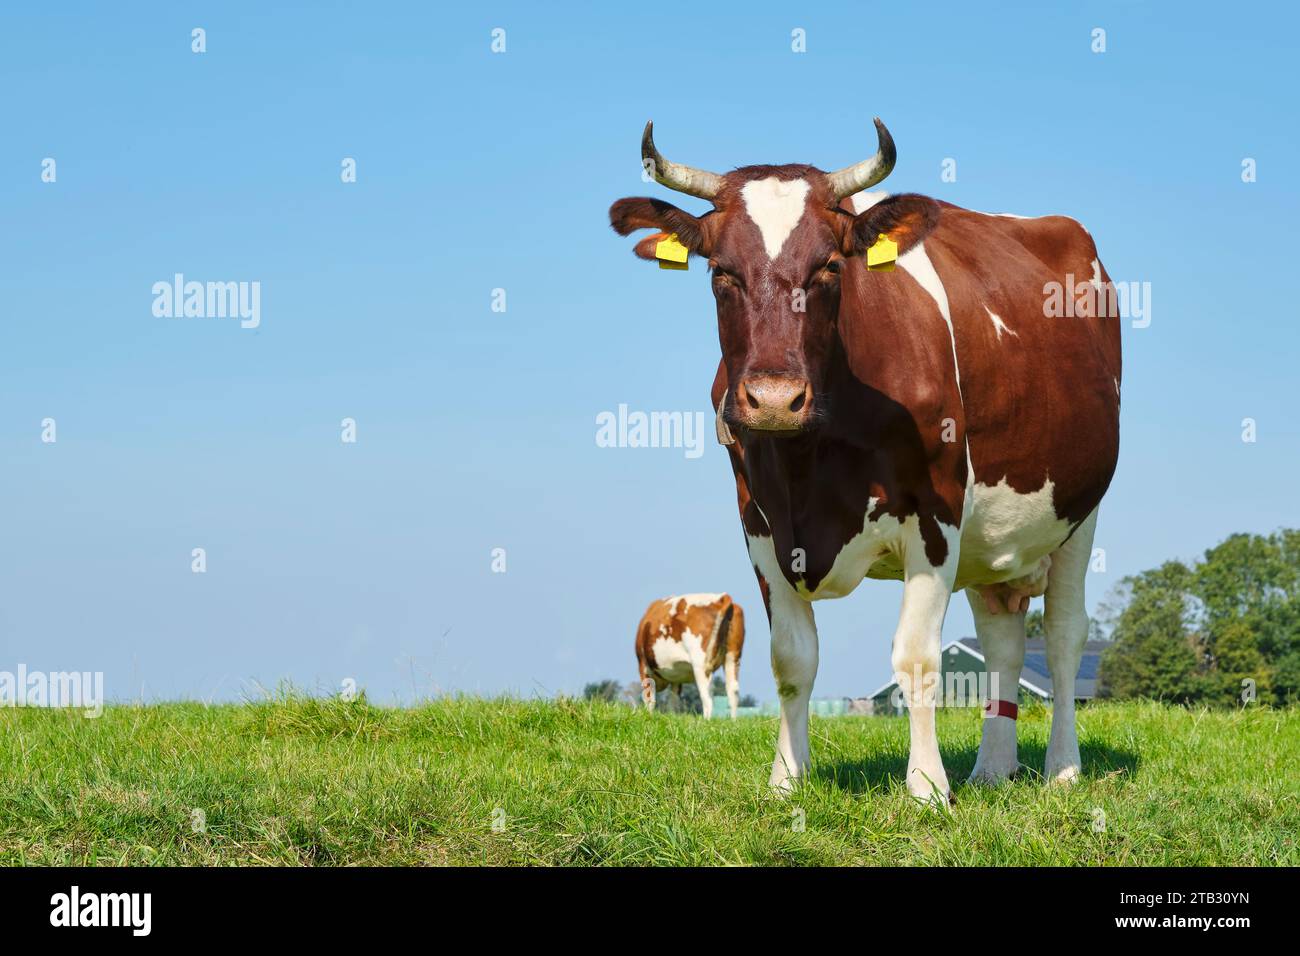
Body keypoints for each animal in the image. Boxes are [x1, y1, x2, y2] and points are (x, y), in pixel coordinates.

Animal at [608, 119, 1118, 806]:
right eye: (720, 271)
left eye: (829, 266)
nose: (774, 399)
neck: (808, 460)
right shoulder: (759, 524)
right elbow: (793, 659)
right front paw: (786, 780)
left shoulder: (936, 515)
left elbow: (919, 658)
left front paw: (927, 786)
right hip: (994, 541)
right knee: (1003, 643)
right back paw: (992, 768)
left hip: (1079, 515)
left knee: (1063, 638)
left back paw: (1062, 769)